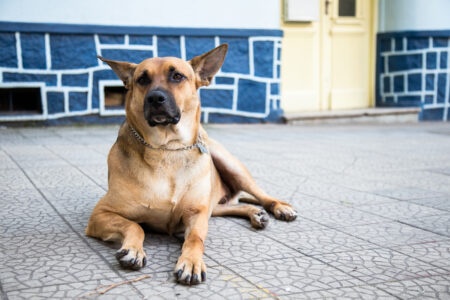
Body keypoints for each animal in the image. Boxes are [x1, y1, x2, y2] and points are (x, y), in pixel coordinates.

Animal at [85, 44, 298, 284]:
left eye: (177, 76)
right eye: (142, 79)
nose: (155, 98)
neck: (167, 149)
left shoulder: (196, 214)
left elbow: (196, 238)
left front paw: (191, 262)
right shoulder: (101, 214)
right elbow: (135, 225)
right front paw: (133, 250)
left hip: (230, 166)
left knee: (262, 196)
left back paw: (279, 208)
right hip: (214, 203)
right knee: (226, 207)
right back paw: (254, 213)